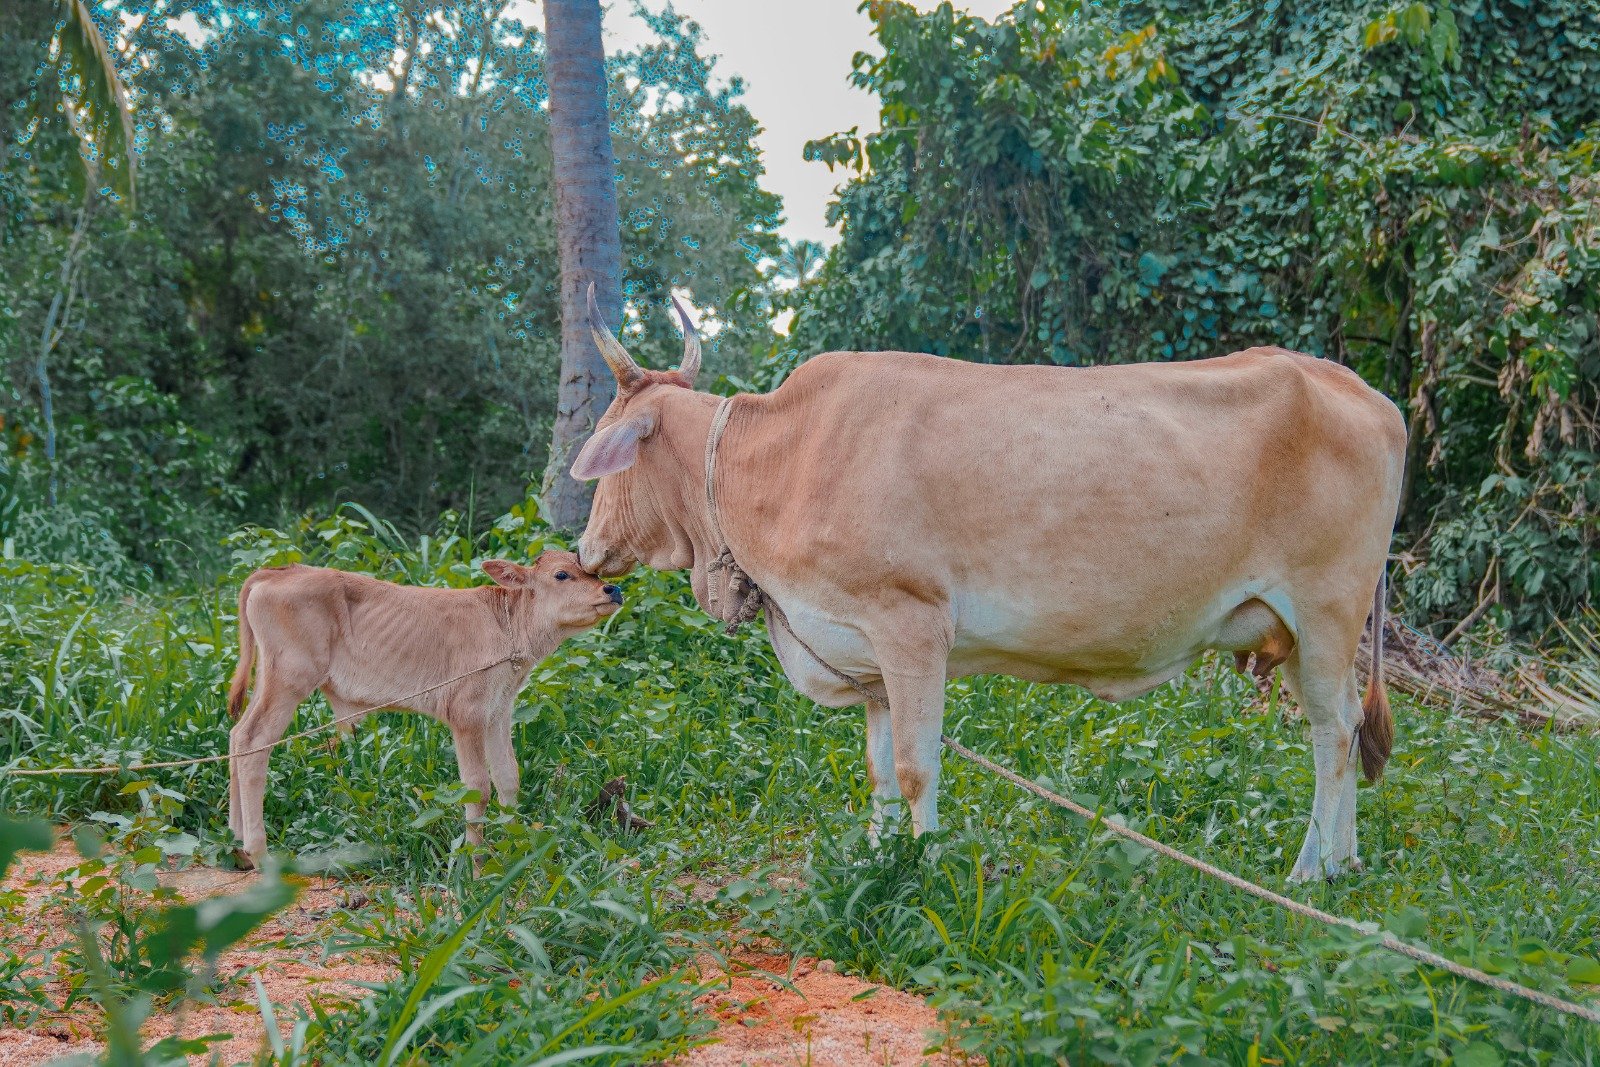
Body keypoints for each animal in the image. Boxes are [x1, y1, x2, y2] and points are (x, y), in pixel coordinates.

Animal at [225, 551, 622, 868]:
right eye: (562, 574)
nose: (613, 590)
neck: (508, 626)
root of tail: (277, 572)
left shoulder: (498, 710)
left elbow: (508, 776)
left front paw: (514, 846)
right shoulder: (467, 713)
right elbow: (478, 787)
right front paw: (475, 866)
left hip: (269, 678)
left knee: (236, 735)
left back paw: (237, 838)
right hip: (290, 678)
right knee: (254, 742)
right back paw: (259, 852)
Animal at [568, 290, 1405, 883]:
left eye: (609, 447)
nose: (585, 549)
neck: (780, 457)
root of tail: (1363, 390)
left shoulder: (910, 623)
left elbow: (916, 766)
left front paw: (922, 863)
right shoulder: (868, 654)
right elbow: (879, 770)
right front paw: (875, 856)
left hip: (1326, 611)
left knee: (1332, 734)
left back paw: (1309, 869)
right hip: (1301, 632)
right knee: (1344, 724)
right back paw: (1347, 860)